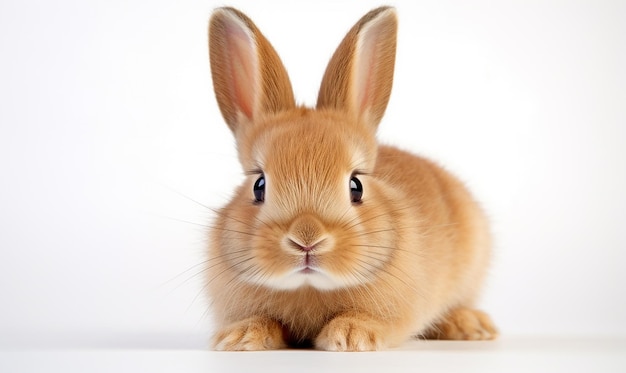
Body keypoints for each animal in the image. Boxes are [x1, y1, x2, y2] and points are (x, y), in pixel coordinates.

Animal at [204, 5, 492, 348]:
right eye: (259, 185)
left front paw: (351, 336)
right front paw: (242, 337)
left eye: (357, 186)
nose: (307, 240)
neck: (309, 287)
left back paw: (471, 326)